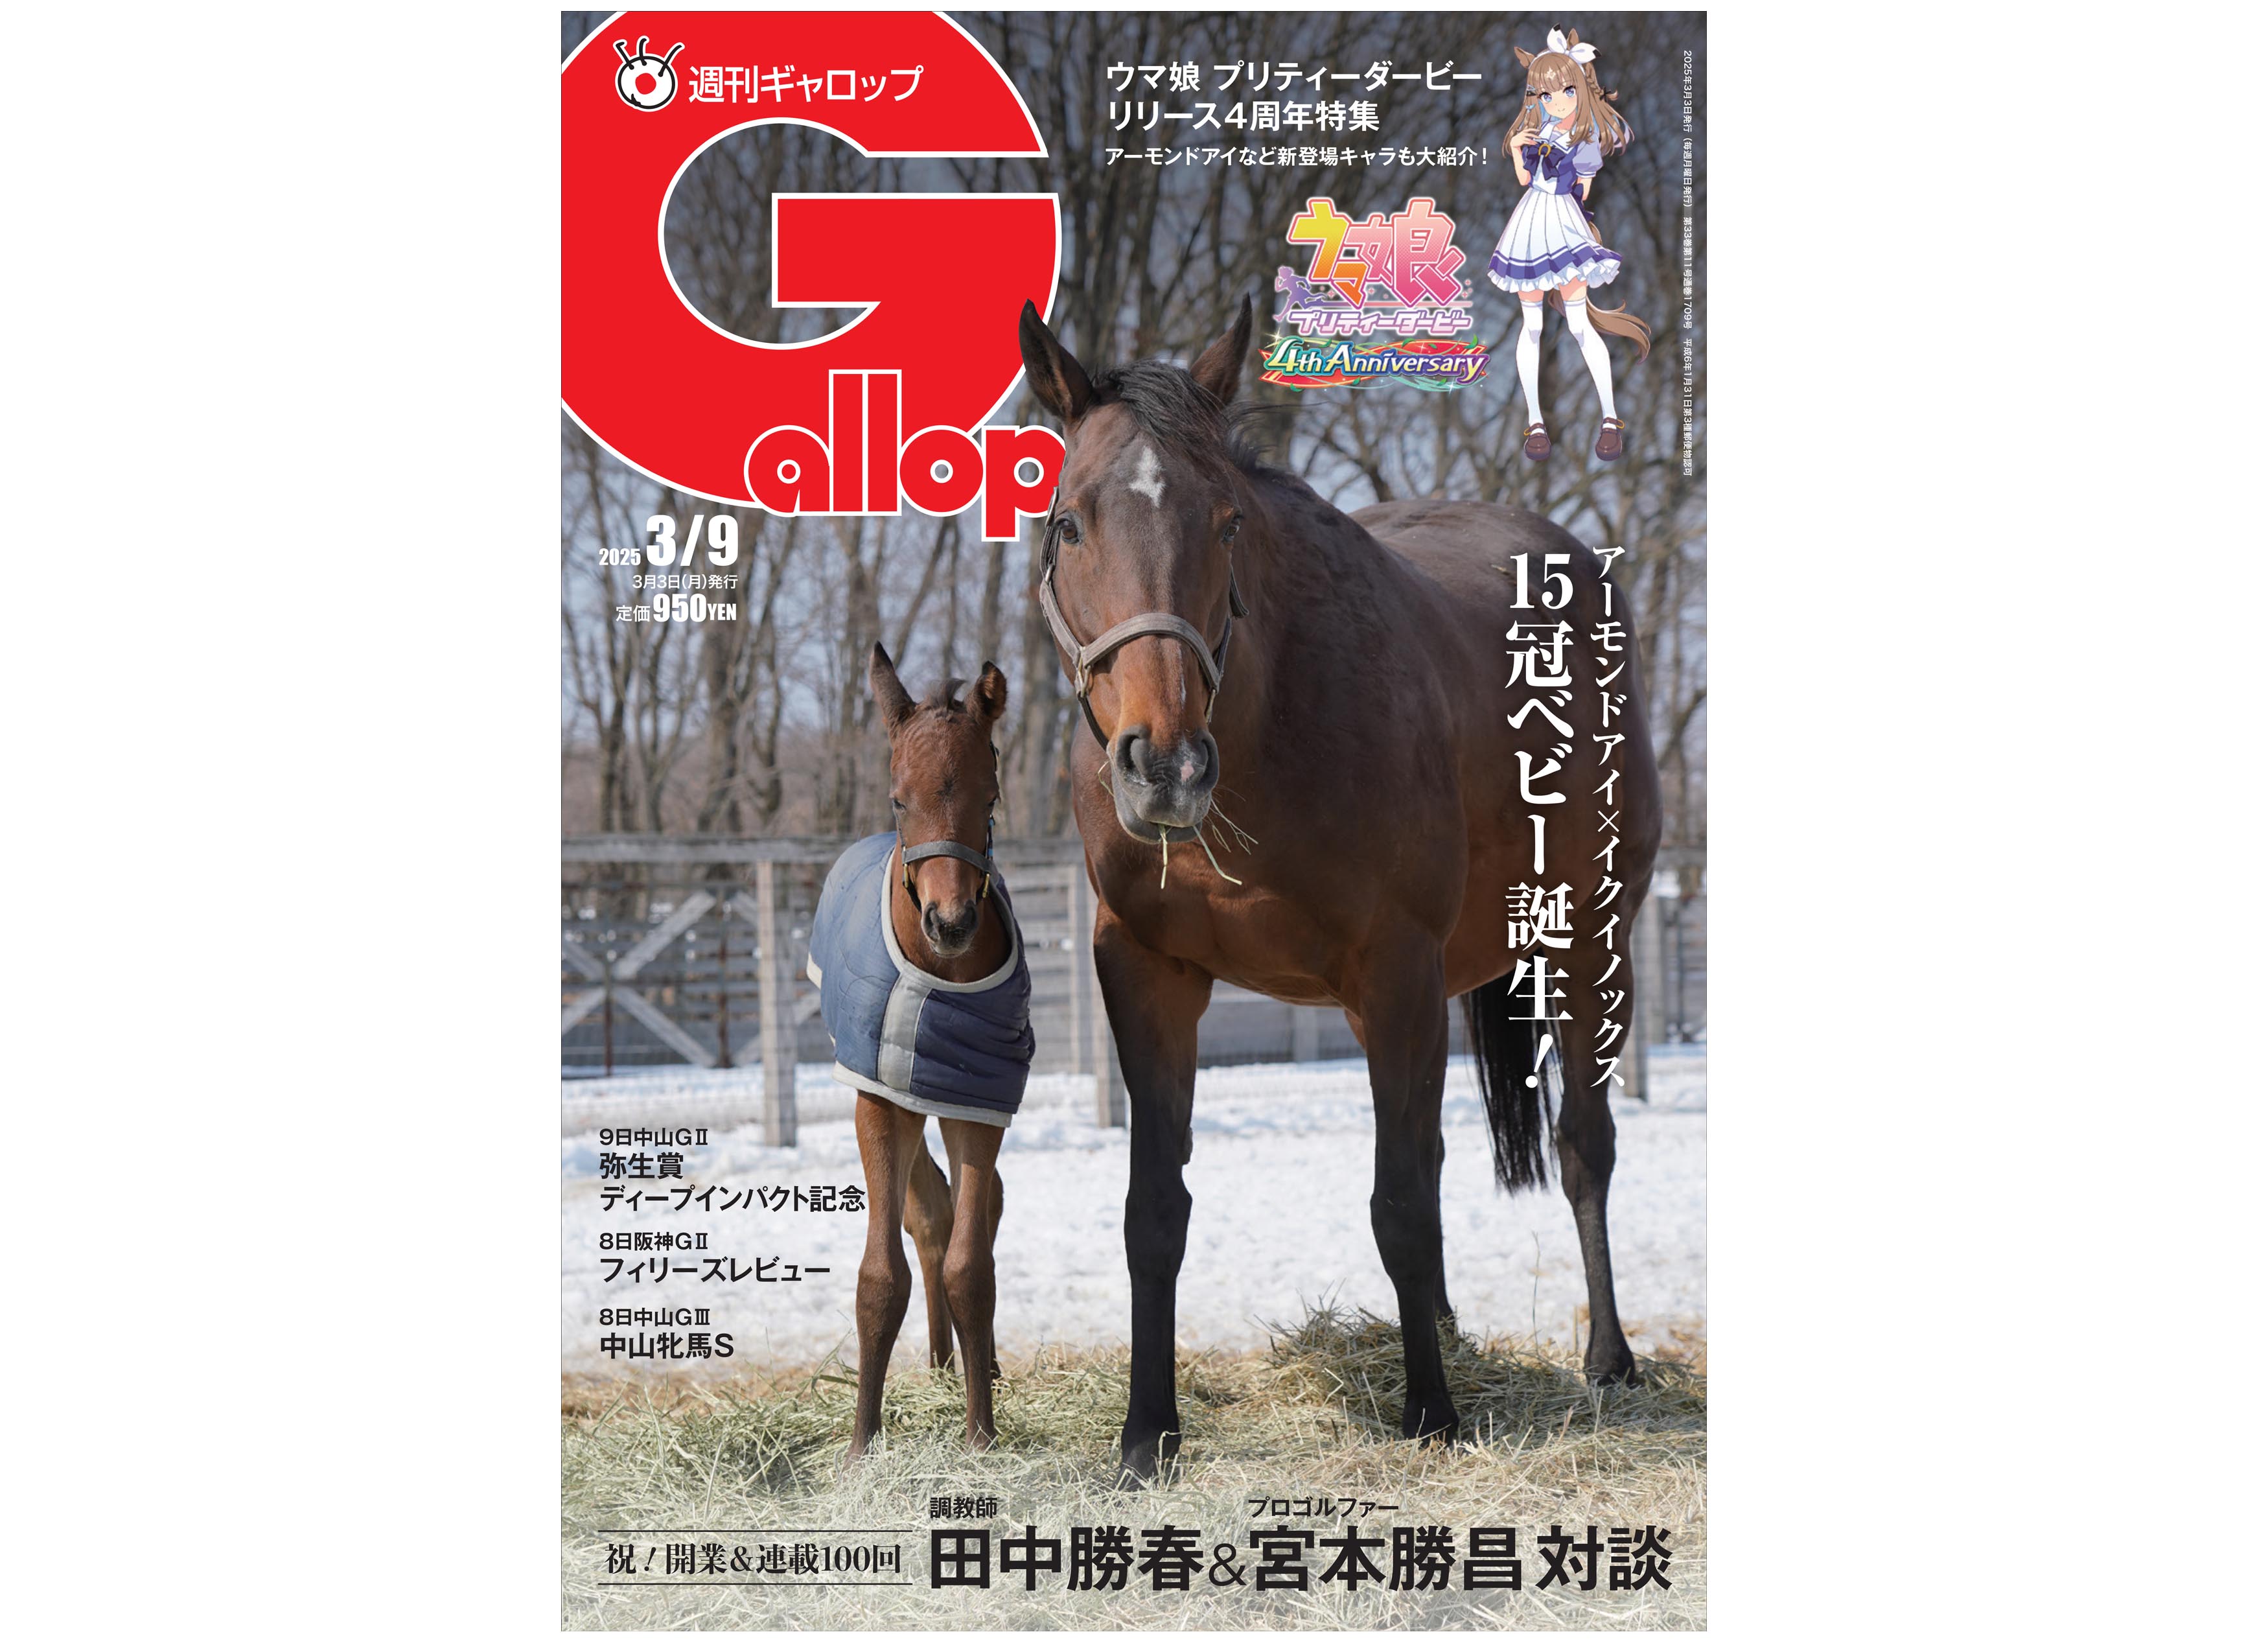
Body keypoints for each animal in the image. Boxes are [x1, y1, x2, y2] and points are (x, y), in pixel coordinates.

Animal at [814, 645, 1027, 1455]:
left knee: (972, 1208)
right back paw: (939, 1363)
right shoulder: (881, 1099)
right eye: (899, 799)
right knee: (927, 1211)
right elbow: (881, 1273)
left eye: (988, 797)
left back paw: (973, 1365)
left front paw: (980, 1435)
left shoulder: (978, 1102)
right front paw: (860, 1446)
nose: (950, 922)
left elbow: (973, 1265)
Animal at [1015, 295, 1663, 1482]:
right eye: (1069, 524)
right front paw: (1145, 1434)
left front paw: (1434, 1415)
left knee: (1582, 1147)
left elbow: (1400, 1203)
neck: (1269, 723)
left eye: (1226, 522)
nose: (1164, 765)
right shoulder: (1147, 970)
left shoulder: (1393, 969)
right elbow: (1154, 1211)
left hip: (1591, 942)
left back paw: (1607, 1361)